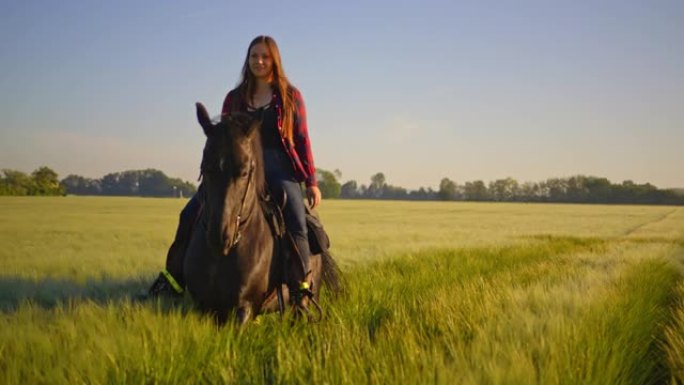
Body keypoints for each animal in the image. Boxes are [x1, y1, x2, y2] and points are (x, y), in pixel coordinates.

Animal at [182, 103, 342, 324]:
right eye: (206, 168)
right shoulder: (206, 308)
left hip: (310, 295)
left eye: (244, 171)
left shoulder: (244, 306)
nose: (219, 237)